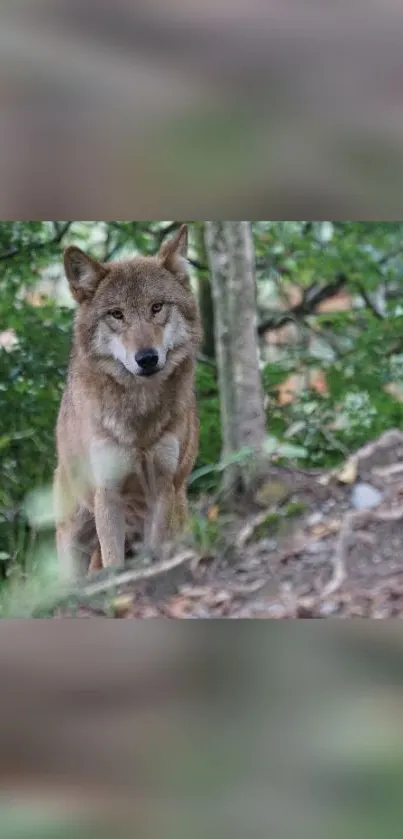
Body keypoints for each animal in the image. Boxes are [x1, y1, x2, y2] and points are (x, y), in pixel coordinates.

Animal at [54, 223, 202, 580]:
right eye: (117, 315)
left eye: (157, 307)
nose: (146, 358)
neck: (140, 419)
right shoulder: (108, 494)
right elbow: (113, 561)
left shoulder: (162, 488)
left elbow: (154, 551)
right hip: (73, 534)